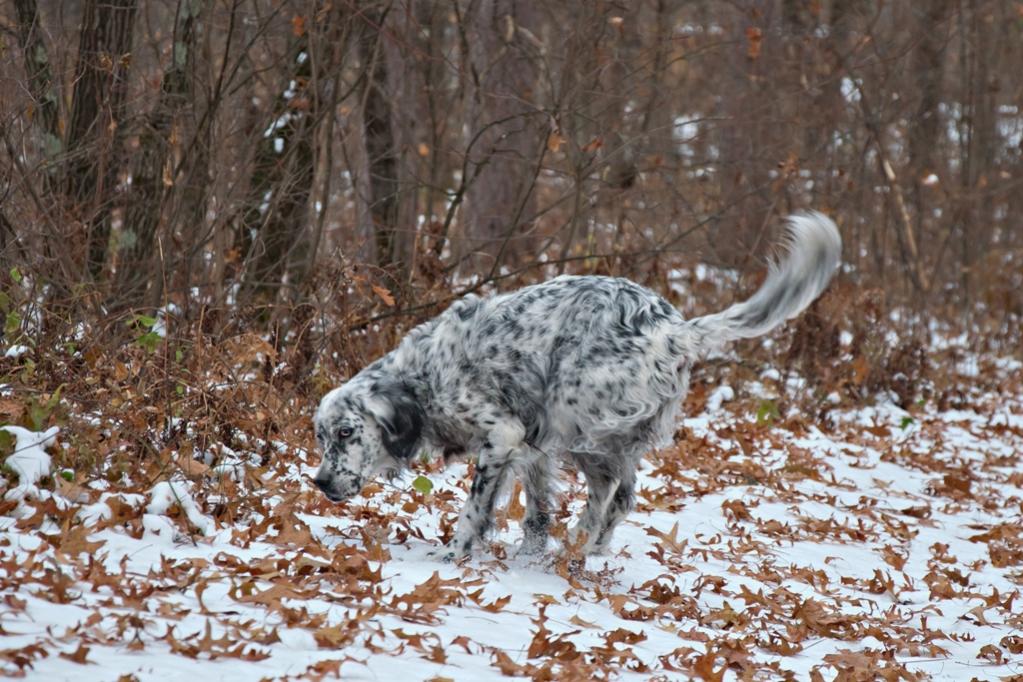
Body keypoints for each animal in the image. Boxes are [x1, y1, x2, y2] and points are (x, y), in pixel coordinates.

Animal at [315, 211, 842, 560]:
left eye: (346, 432)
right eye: (320, 438)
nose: (319, 482)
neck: (423, 376)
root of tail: (672, 329)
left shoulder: (503, 433)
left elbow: (474, 507)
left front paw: (456, 553)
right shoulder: (531, 443)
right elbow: (535, 510)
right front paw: (528, 553)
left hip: (579, 421)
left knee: (608, 492)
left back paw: (580, 545)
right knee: (624, 497)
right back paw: (590, 550)